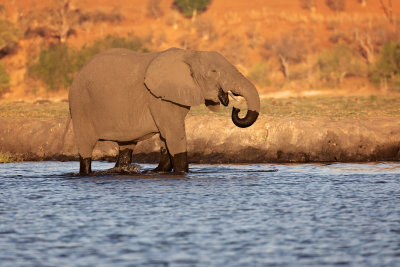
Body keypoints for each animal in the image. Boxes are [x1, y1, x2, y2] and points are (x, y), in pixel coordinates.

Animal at [69, 47, 260, 175]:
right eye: (213, 71)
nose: (236, 108)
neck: (190, 54)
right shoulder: (158, 97)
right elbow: (174, 135)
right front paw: (182, 173)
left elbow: (165, 138)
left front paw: (158, 172)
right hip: (80, 105)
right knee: (86, 147)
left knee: (127, 146)